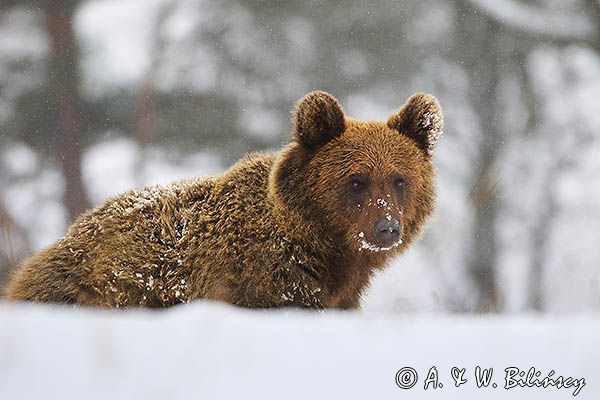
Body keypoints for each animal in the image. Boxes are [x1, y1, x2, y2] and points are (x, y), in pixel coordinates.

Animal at [2, 91, 442, 310]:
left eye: (399, 179)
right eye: (356, 181)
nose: (386, 228)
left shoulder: (339, 294)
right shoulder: (265, 284)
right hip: (84, 290)